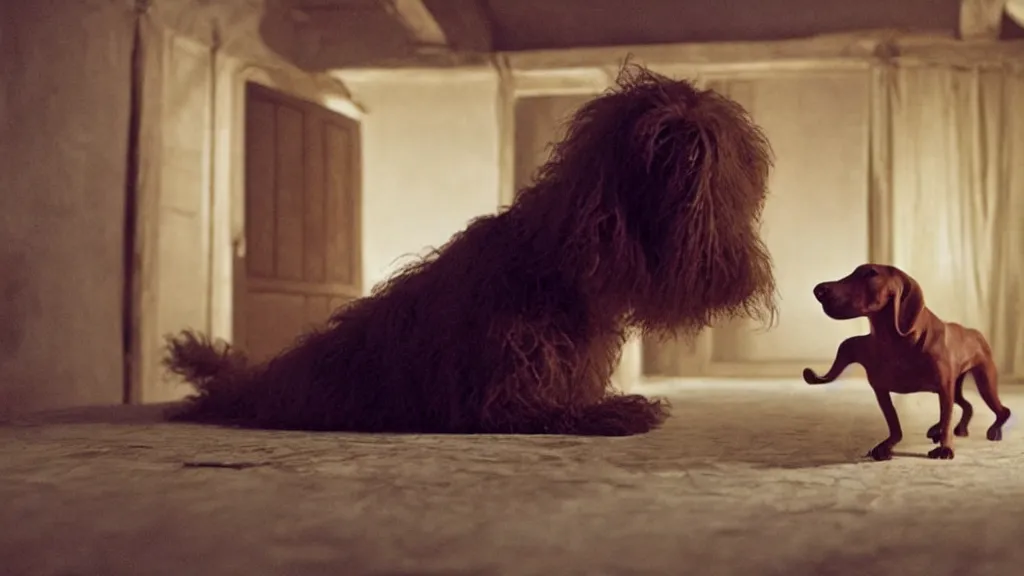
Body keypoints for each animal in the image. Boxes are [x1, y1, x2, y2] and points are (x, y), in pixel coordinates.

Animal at [165, 65, 774, 434]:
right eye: (659, 135)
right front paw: (622, 409)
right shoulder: (502, 399)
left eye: (708, 142)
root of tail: (255, 383)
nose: (687, 155)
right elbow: (569, 410)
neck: (552, 267)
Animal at [802, 264, 1011, 457]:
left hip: (984, 382)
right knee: (967, 406)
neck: (895, 342)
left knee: (1003, 411)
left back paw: (993, 430)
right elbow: (895, 424)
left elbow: (946, 417)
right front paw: (886, 446)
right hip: (958, 386)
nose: (819, 290)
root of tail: (975, 333)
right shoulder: (881, 389)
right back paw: (953, 429)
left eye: (870, 273)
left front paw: (945, 447)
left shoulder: (944, 387)